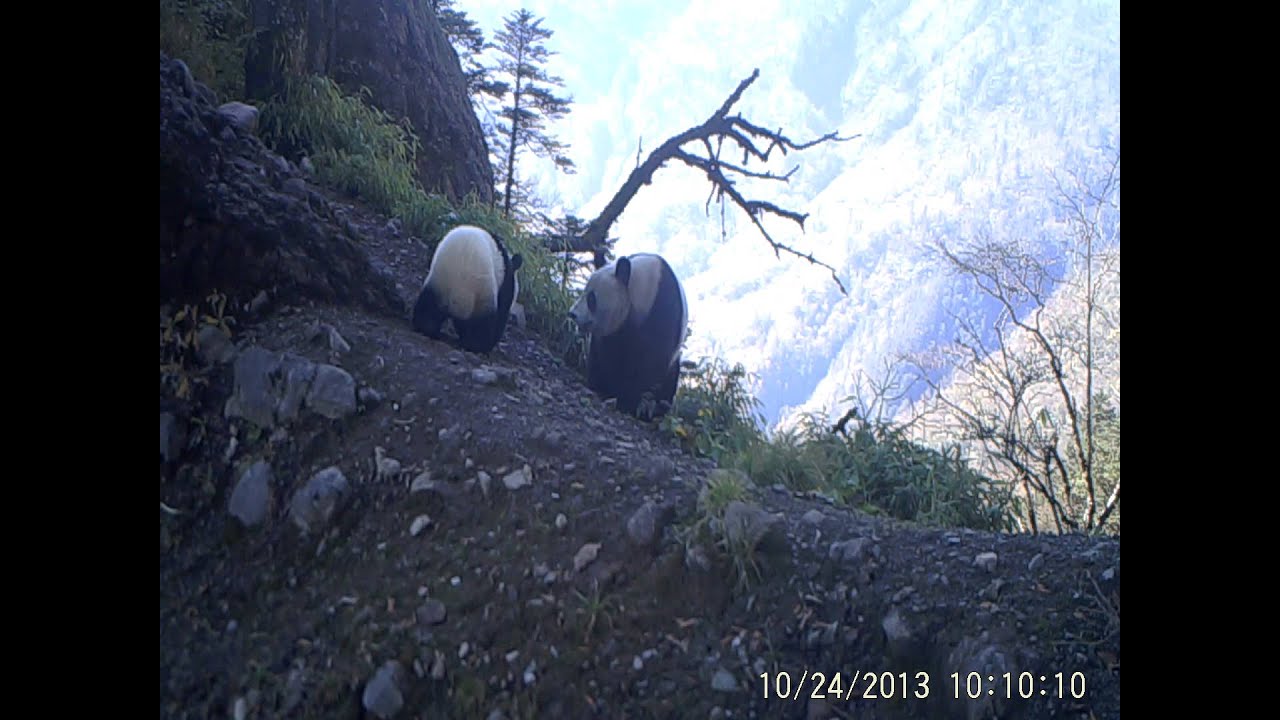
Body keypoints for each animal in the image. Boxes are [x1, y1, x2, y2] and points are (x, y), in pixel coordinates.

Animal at [412, 225, 523, 354]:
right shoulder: (505, 283)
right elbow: (502, 310)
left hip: (438, 283)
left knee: (428, 307)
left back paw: (426, 327)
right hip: (482, 295)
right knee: (482, 325)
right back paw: (479, 346)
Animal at [568, 252, 688, 420]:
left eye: (591, 298)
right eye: (584, 291)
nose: (572, 314)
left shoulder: (661, 313)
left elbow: (649, 363)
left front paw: (627, 403)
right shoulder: (612, 332)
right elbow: (604, 353)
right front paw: (600, 387)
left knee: (669, 380)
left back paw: (655, 409)